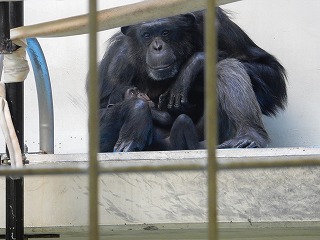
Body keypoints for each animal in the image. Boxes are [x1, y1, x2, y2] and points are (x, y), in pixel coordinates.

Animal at [98, 7, 288, 152]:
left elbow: (269, 70)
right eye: (146, 35)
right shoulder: (118, 61)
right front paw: (138, 112)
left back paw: (249, 136)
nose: (158, 47)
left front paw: (193, 65)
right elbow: (102, 110)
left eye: (165, 32)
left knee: (226, 66)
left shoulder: (215, 23)